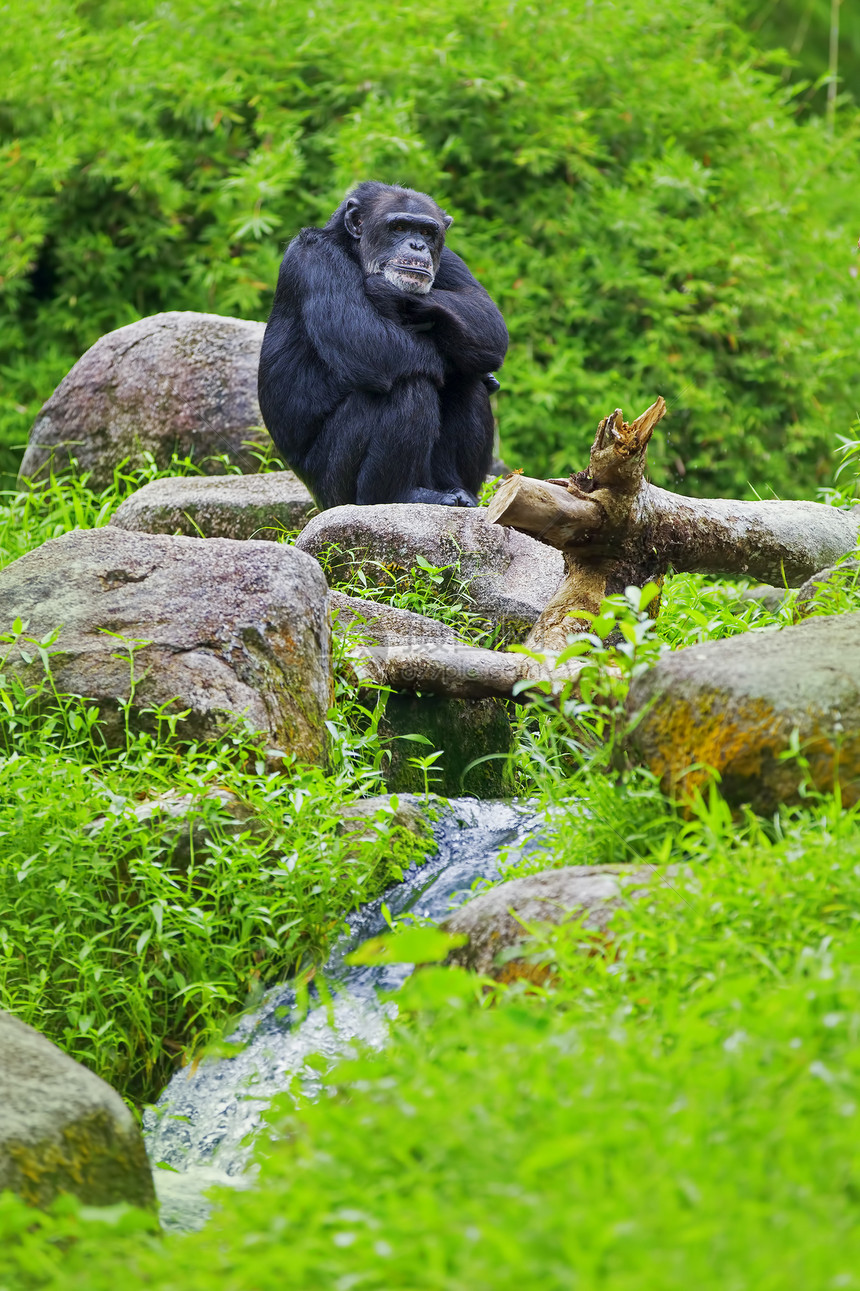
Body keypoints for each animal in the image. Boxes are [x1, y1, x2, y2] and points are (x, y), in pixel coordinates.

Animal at [258, 182, 506, 508]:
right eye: (398, 227)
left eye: (427, 232)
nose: (417, 246)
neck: (354, 252)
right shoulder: (314, 257)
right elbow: (363, 339)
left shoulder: (450, 258)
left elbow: (487, 319)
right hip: (336, 490)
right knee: (408, 382)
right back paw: (399, 494)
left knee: (467, 383)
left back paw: (458, 491)